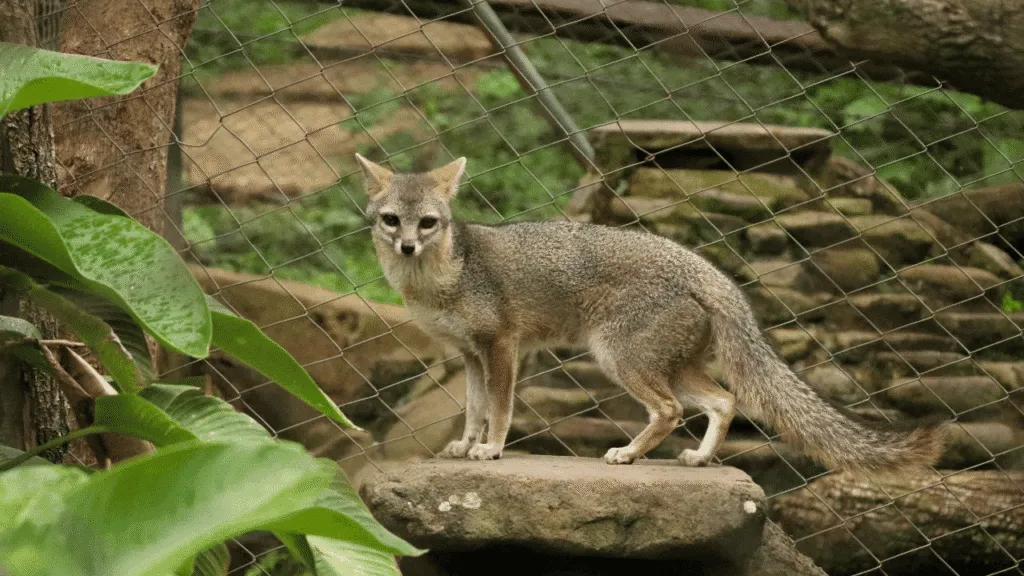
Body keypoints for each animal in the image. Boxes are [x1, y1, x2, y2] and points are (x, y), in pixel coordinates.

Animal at [355, 153, 948, 474]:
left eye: (428, 223)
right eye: (391, 220)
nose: (407, 246)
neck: (440, 279)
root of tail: (702, 268)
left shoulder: (501, 347)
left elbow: (498, 411)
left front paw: (492, 450)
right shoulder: (471, 355)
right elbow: (475, 409)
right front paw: (463, 446)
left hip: (621, 360)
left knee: (670, 410)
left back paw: (628, 454)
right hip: (672, 366)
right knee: (724, 401)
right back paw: (699, 461)